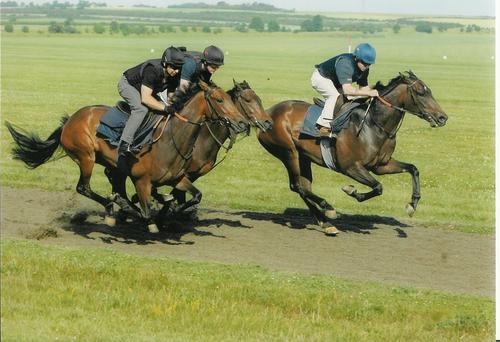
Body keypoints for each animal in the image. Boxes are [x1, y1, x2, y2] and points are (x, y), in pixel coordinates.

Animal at [6, 81, 249, 234]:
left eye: (231, 99)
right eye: (219, 100)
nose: (242, 123)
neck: (172, 139)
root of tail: (69, 120)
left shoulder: (179, 178)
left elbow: (194, 196)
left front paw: (169, 211)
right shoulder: (141, 180)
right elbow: (147, 209)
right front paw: (152, 216)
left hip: (110, 163)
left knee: (114, 185)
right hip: (86, 157)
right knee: (84, 187)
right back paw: (113, 208)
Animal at [258, 71, 450, 236]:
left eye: (429, 91)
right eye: (420, 92)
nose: (442, 117)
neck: (373, 125)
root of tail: (266, 114)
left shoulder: (381, 165)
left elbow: (413, 169)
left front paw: (412, 205)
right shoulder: (350, 167)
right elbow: (378, 187)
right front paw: (351, 190)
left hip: (303, 157)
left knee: (303, 187)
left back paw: (326, 223)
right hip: (289, 153)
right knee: (298, 186)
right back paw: (328, 208)